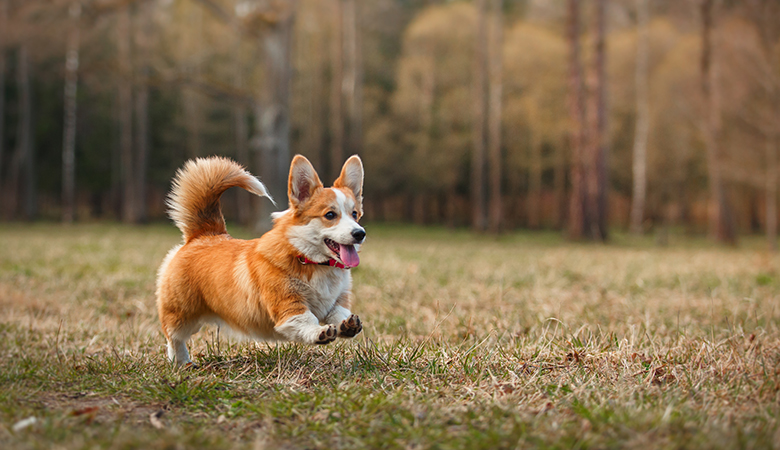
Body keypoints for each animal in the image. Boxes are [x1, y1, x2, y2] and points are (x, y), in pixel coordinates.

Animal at [158, 155, 368, 366]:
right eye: (330, 215)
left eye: (355, 214)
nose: (360, 233)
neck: (311, 261)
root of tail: (204, 234)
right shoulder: (288, 305)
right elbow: (306, 320)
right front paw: (319, 332)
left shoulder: (337, 301)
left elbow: (339, 313)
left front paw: (347, 325)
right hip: (182, 314)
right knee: (173, 336)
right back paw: (181, 362)